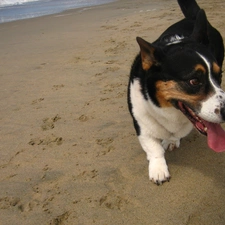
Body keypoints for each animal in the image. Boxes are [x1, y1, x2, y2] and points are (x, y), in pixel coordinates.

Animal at [127, 0, 225, 185]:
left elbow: (175, 134)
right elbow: (153, 147)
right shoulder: (141, 120)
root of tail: (193, 17)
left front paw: (172, 140)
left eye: (219, 75)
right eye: (194, 81)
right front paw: (158, 169)